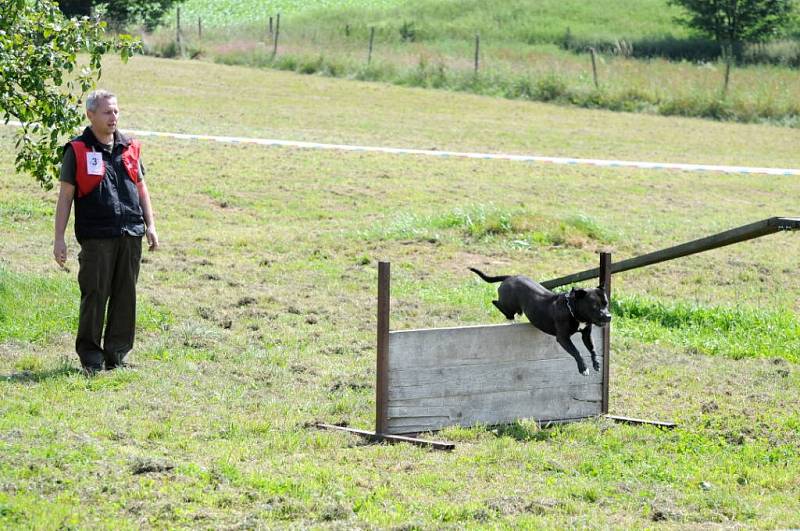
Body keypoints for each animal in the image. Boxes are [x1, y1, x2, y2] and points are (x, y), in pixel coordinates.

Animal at [472, 268, 608, 376]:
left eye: (606, 304)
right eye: (595, 306)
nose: (608, 316)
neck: (571, 309)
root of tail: (511, 277)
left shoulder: (586, 334)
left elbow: (592, 348)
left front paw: (596, 363)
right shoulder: (563, 338)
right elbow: (576, 351)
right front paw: (583, 368)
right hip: (509, 304)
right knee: (498, 304)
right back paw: (508, 317)